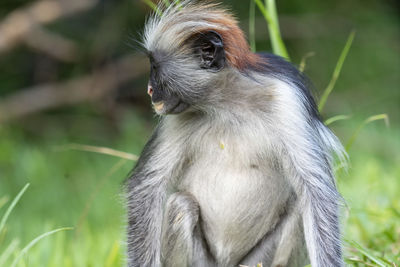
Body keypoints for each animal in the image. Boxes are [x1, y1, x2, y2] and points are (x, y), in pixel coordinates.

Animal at [126, 1, 346, 266]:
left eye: (155, 67)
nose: (149, 90)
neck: (226, 103)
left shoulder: (287, 98)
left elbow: (315, 190)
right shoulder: (175, 115)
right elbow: (147, 186)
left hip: (256, 260)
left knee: (299, 205)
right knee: (182, 205)